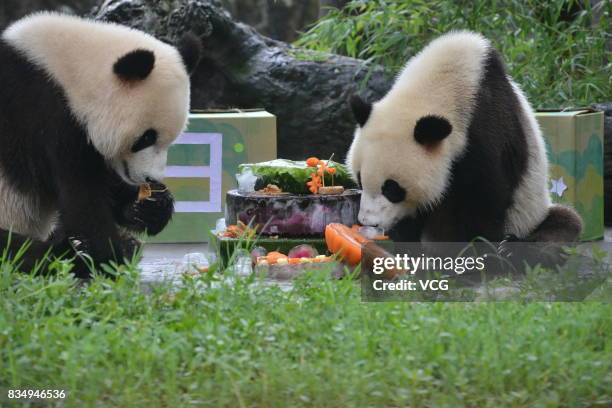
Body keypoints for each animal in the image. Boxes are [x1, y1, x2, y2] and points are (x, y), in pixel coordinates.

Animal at [0, 14, 203, 278]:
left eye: (171, 139)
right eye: (146, 138)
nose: (151, 178)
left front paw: (150, 207)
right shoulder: (45, 115)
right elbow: (82, 200)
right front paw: (108, 257)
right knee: (15, 249)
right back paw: (73, 252)